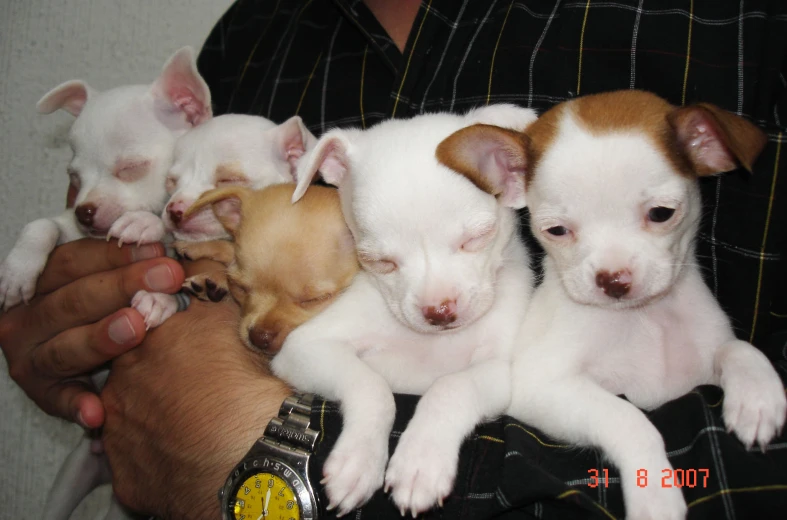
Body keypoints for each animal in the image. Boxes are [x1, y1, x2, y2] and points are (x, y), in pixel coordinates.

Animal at [21, 48, 212, 520]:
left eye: (130, 168)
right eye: (73, 178)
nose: (85, 211)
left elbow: (175, 275)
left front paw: (156, 294)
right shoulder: (71, 232)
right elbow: (44, 226)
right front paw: (17, 269)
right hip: (73, 474)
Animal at [270, 105, 536, 516]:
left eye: (477, 238)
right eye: (378, 262)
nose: (439, 310)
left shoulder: (502, 371)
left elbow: (452, 386)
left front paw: (421, 462)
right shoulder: (304, 349)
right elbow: (371, 385)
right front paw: (359, 461)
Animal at [444, 91, 780, 520]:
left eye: (662, 214)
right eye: (556, 230)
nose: (613, 279)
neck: (644, 320)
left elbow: (737, 348)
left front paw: (757, 397)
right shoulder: (543, 388)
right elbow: (629, 417)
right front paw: (654, 494)